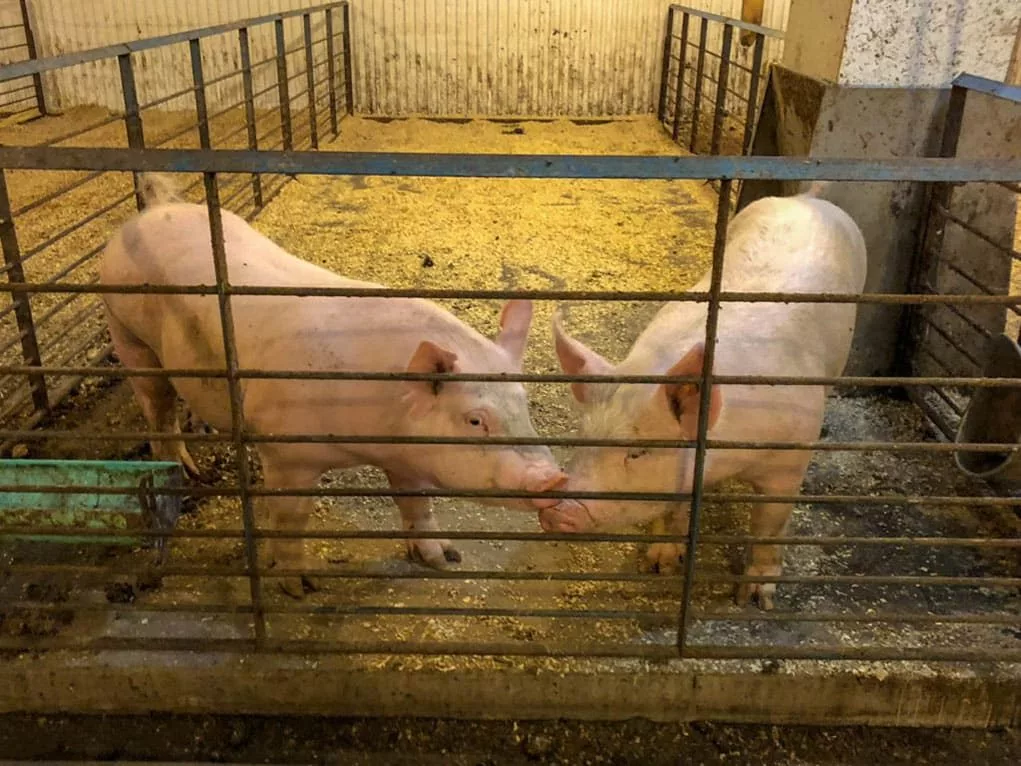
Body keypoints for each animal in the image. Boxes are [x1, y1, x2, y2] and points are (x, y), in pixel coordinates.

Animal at [99, 173, 566, 598]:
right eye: (474, 420)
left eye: (523, 405)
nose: (554, 480)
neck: (376, 431)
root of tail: (153, 211)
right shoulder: (286, 453)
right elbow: (290, 518)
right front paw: (301, 587)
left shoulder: (406, 458)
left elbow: (416, 503)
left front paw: (444, 558)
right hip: (129, 335)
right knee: (158, 410)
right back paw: (184, 471)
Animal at [540, 186, 867, 610]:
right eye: (583, 440)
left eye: (638, 452)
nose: (554, 512)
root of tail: (806, 198)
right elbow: (673, 512)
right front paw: (659, 564)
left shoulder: (789, 458)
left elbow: (769, 525)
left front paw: (754, 599)